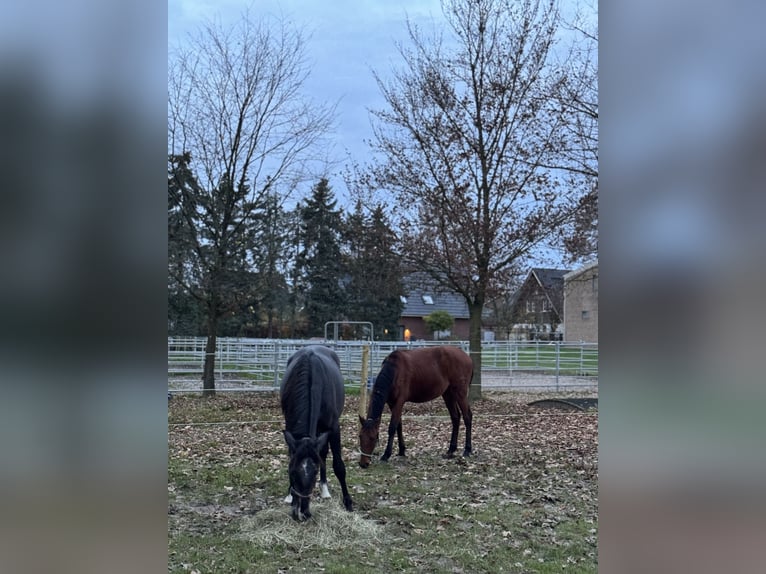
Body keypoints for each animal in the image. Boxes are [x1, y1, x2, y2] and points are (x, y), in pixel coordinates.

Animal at [282, 346, 354, 520]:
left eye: (314, 472)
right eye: (292, 472)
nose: (302, 512)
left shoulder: (334, 428)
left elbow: (338, 466)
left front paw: (348, 502)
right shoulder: (291, 429)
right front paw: (290, 495)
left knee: (324, 453)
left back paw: (325, 490)